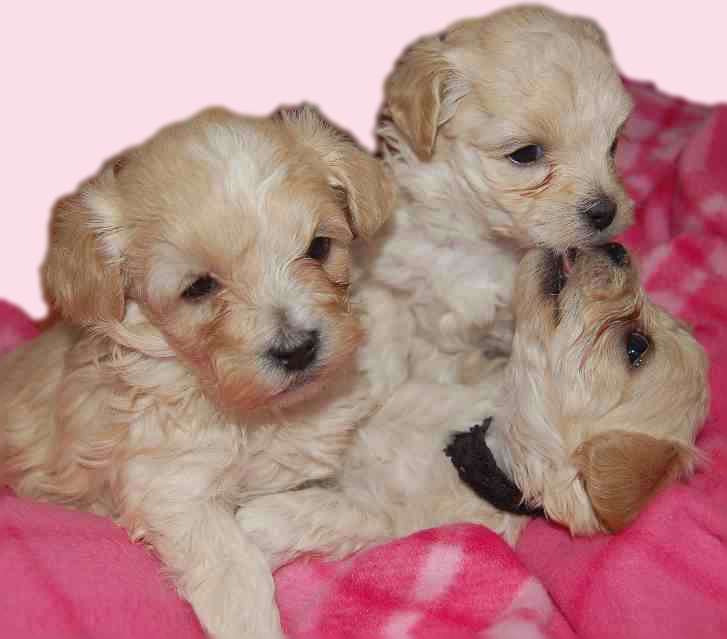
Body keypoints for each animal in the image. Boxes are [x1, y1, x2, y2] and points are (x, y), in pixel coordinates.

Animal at [0, 105, 392, 639]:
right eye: (199, 287)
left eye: (318, 247)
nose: (297, 351)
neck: (257, 415)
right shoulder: (172, 485)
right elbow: (234, 570)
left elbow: (365, 509)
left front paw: (260, 522)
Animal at [240, 242, 712, 568]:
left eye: (636, 346)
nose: (617, 247)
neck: (472, 443)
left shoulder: (399, 522)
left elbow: (350, 513)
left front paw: (257, 520)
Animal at [364, 6, 636, 384]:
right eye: (525, 154)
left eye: (613, 145)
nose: (605, 212)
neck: (486, 242)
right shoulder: (395, 277)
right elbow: (393, 331)